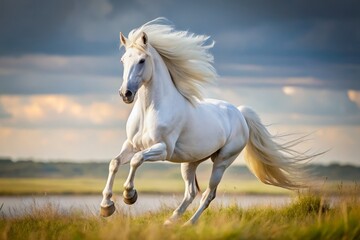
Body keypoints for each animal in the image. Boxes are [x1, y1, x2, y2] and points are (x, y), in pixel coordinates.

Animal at [99, 18, 312, 225]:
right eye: (123, 60)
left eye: (142, 60)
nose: (125, 94)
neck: (149, 111)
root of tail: (239, 113)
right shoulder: (131, 144)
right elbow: (114, 163)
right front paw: (106, 206)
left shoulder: (162, 149)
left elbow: (137, 160)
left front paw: (129, 195)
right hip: (190, 162)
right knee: (191, 193)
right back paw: (171, 221)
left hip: (222, 161)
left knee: (208, 194)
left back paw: (188, 224)